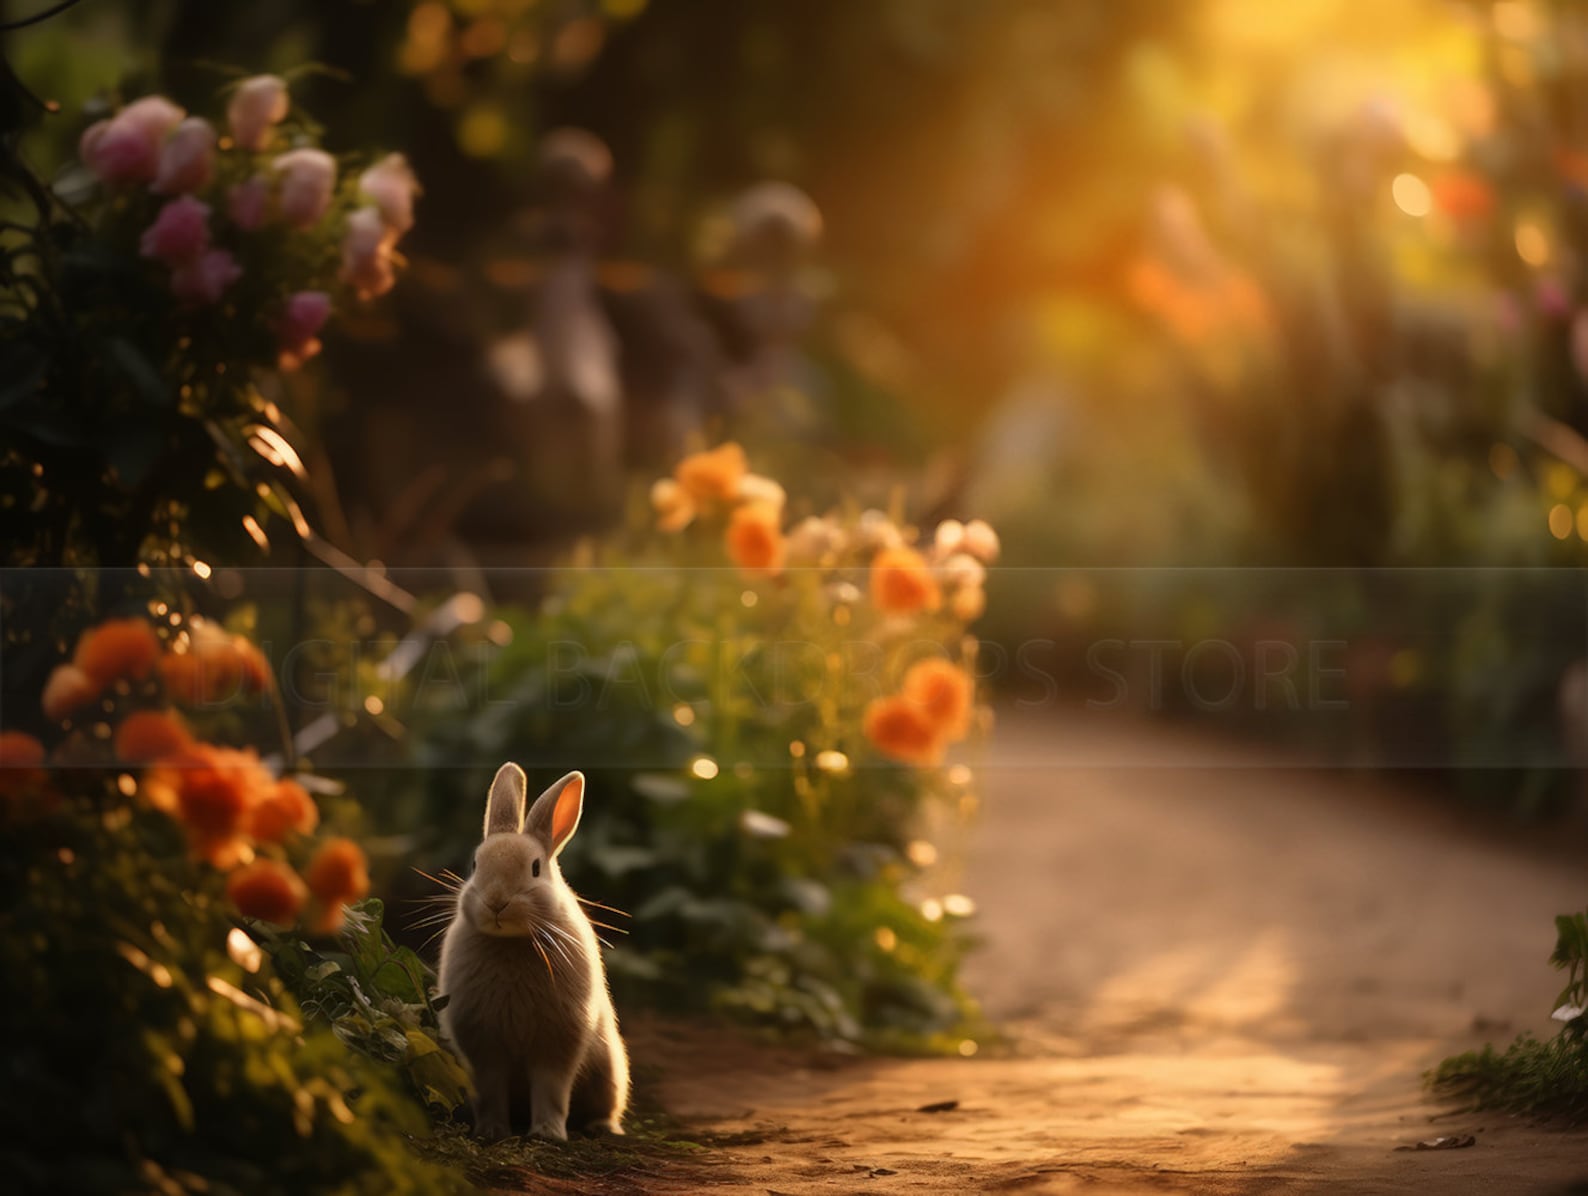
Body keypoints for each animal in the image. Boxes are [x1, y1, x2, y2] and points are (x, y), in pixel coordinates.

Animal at [438, 764, 630, 1141]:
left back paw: (602, 1127)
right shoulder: (483, 1046)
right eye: (475, 865)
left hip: (608, 1075)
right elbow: (490, 1091)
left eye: (535, 868)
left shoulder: (556, 1041)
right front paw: (492, 1131)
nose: (496, 902)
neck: (512, 941)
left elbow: (551, 1089)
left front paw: (547, 1133)